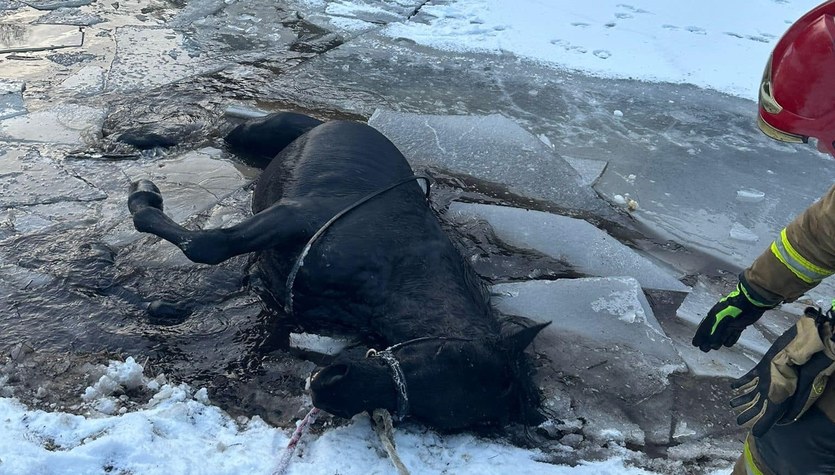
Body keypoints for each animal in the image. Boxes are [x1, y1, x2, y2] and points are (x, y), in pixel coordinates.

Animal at [129, 112, 548, 432]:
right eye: (445, 354)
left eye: (437, 416)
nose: (327, 387)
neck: (395, 268)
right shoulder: (290, 216)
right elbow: (208, 245)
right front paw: (142, 201)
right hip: (259, 132)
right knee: (220, 131)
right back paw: (140, 142)